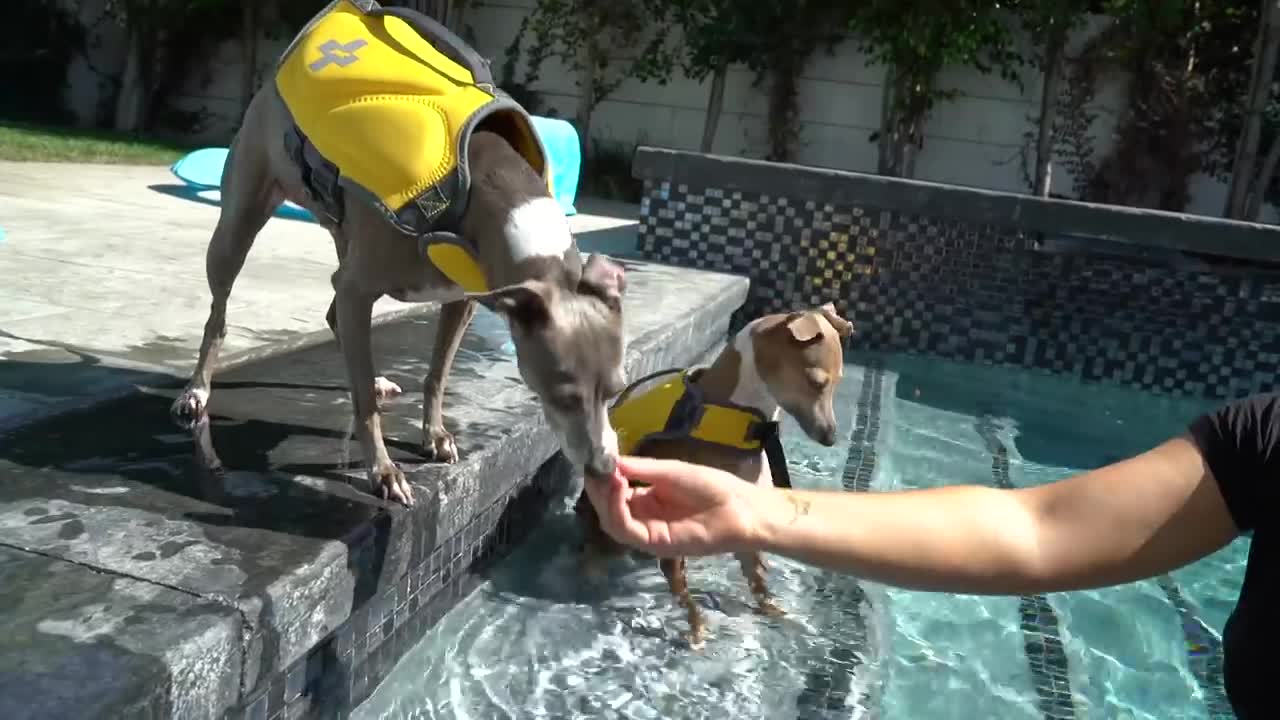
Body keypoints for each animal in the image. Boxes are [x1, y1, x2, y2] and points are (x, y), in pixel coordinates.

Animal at [167, 0, 627, 502]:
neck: (487, 188)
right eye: (563, 395)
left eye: (618, 389)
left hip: (345, 240)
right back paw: (196, 391)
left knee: (337, 319)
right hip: (239, 222)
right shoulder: (360, 287)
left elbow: (437, 374)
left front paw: (435, 435)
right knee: (219, 314)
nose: (605, 468)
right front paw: (384, 471)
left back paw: (376, 376)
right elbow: (365, 402)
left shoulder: (460, 299)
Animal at [578, 301, 855, 645]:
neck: (740, 415)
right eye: (817, 382)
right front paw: (697, 628)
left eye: (839, 380)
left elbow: (758, 578)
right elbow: (684, 592)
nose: (830, 437)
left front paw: (773, 613)